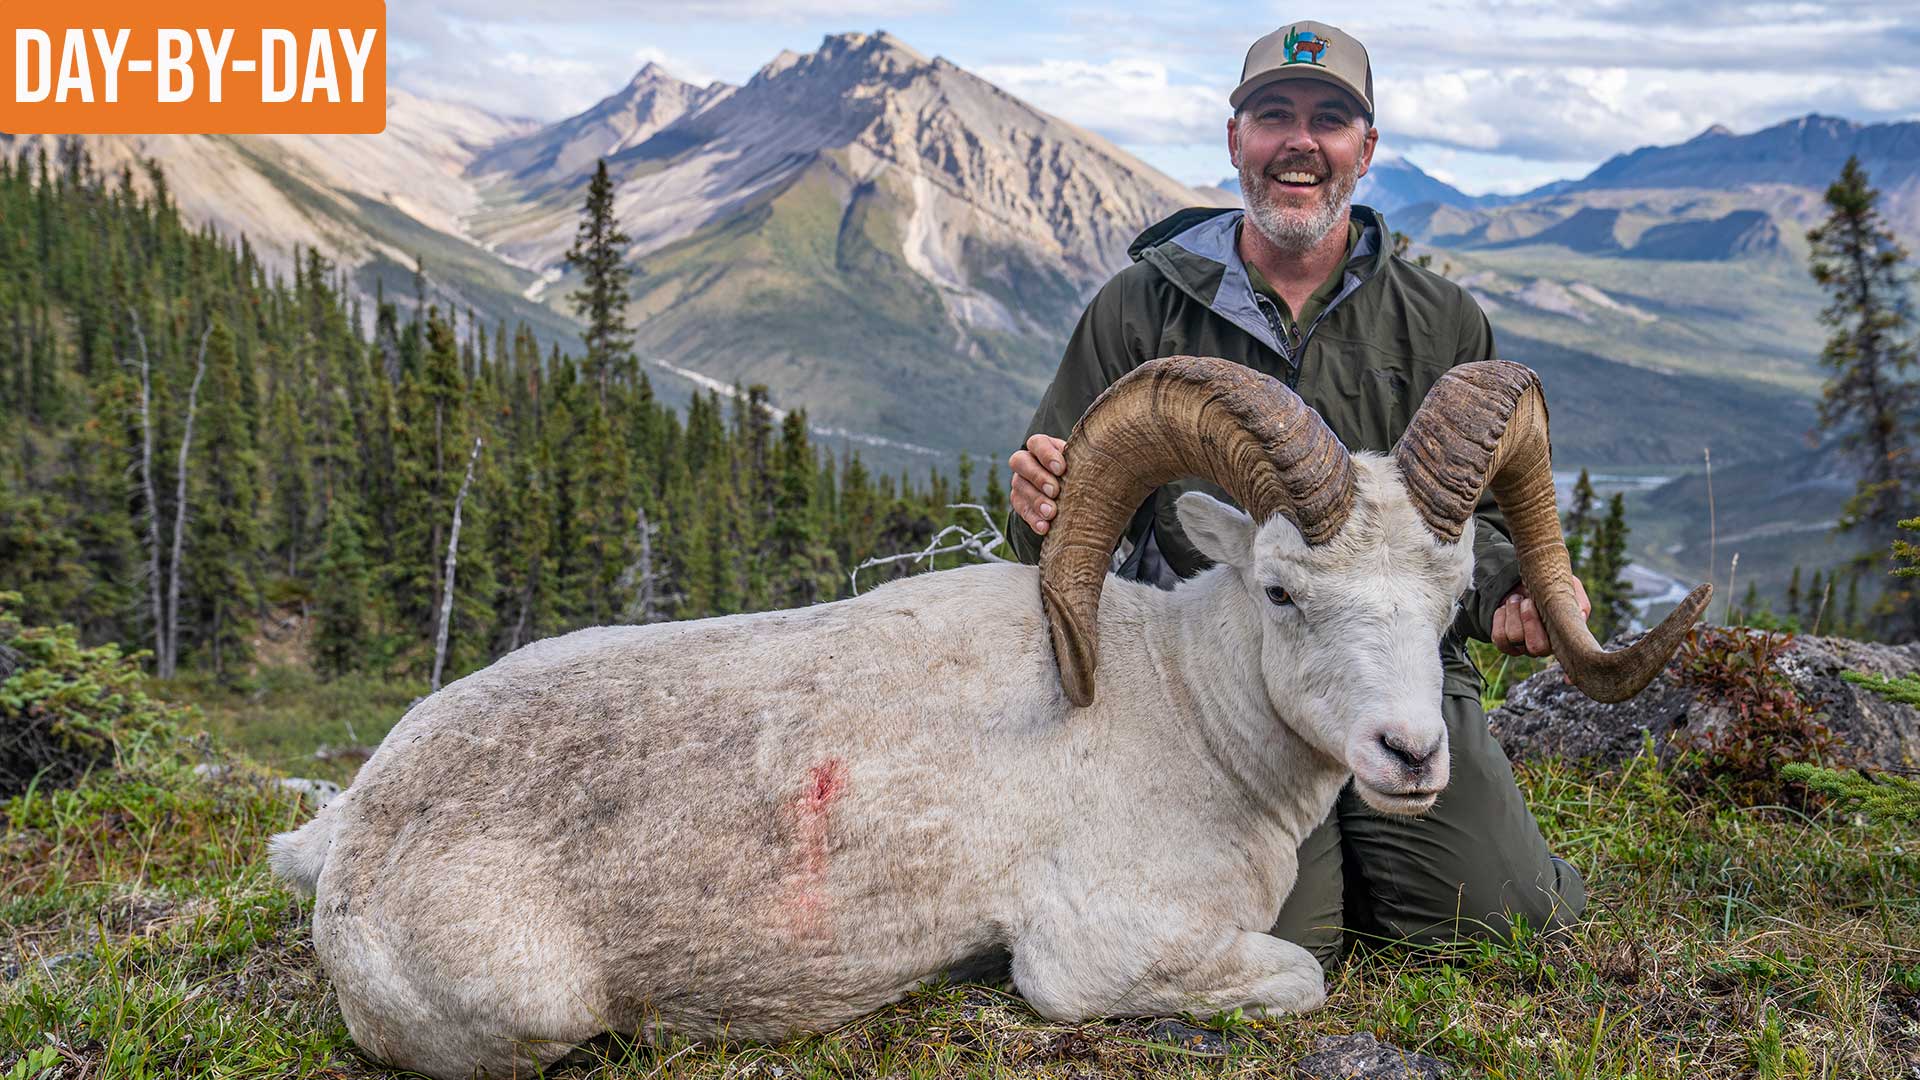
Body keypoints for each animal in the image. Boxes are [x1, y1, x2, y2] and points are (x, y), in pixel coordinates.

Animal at [270, 357, 1707, 1080]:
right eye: (1283, 590)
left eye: (1455, 595)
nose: (1410, 756)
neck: (1174, 713)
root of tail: (355, 831)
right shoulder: (1094, 958)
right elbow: (1299, 975)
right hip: (526, 1012)